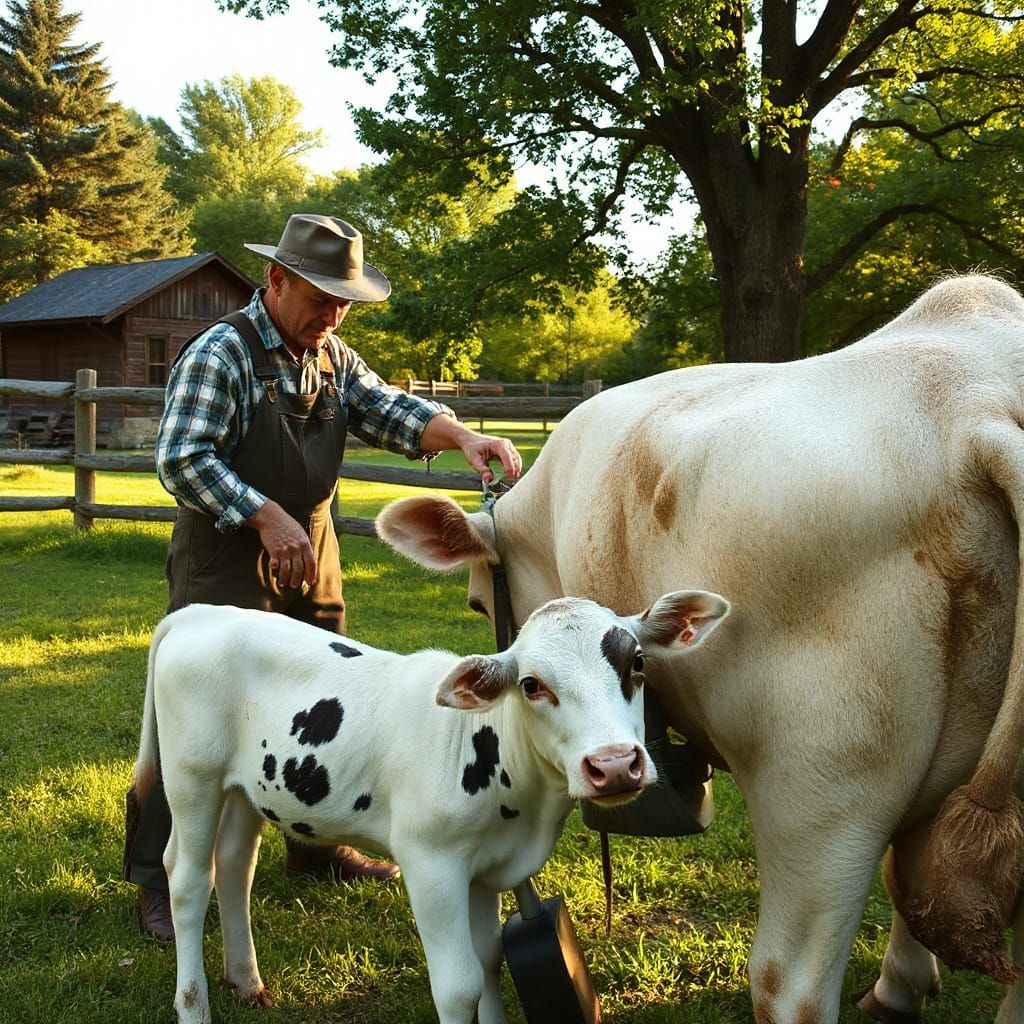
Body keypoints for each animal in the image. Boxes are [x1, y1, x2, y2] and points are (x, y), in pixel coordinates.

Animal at [132, 592, 730, 1024]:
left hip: (246, 788)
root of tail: (200, 613)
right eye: (531, 684)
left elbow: (488, 963)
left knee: (234, 866)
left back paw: (247, 981)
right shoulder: (431, 865)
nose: (614, 765)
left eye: (638, 662)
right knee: (187, 880)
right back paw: (194, 1006)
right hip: (192, 778)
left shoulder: (486, 871)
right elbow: (459, 986)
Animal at [376, 275, 1024, 1024]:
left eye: (480, 604)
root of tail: (971, 410)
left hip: (817, 786)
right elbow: (908, 877)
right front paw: (902, 983)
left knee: (788, 983)